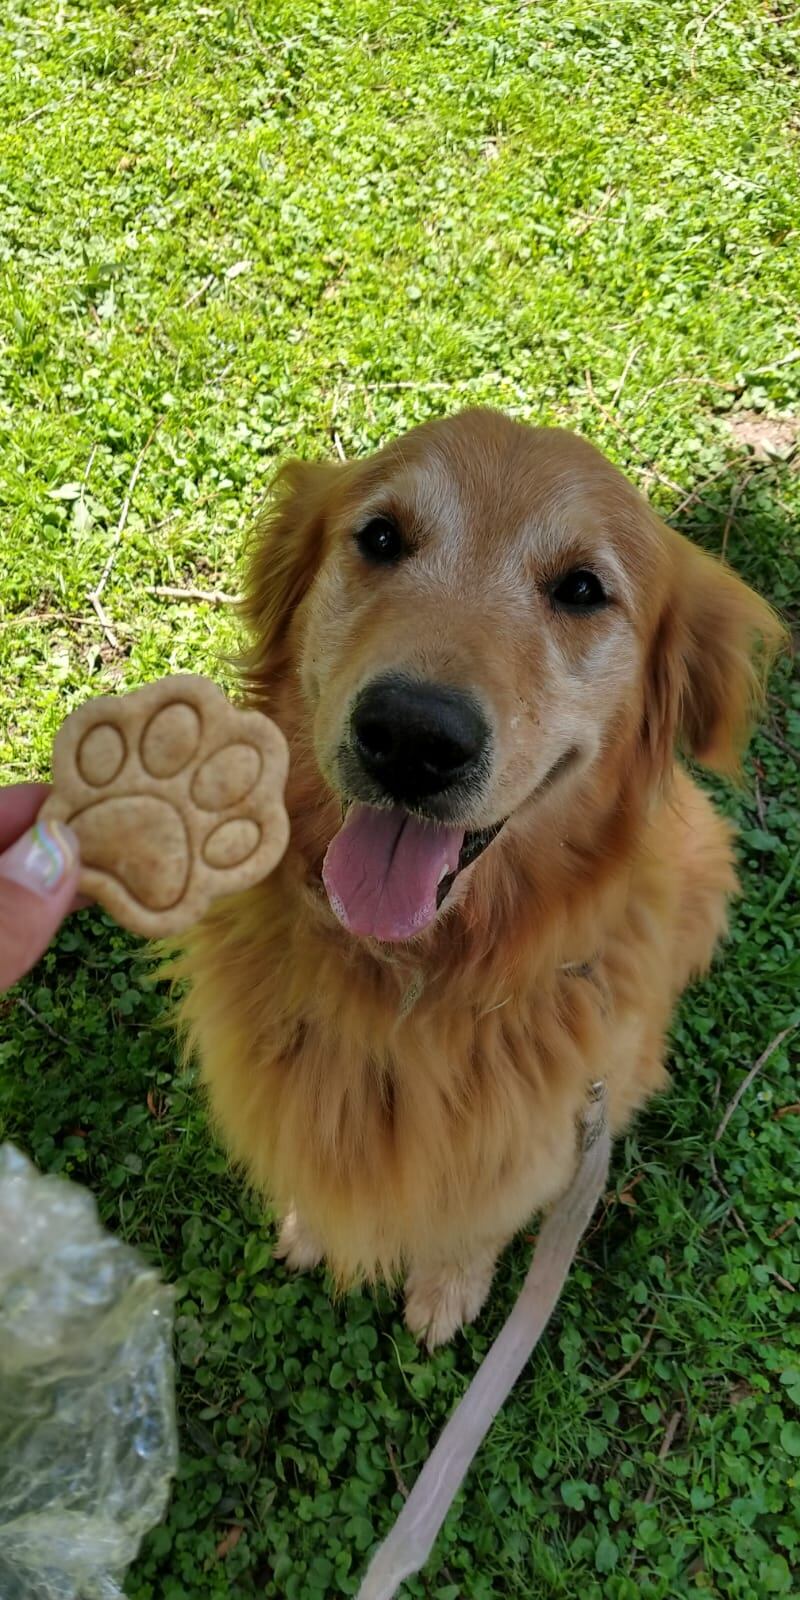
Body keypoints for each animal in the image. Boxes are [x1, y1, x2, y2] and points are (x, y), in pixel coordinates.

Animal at [173, 412, 780, 1350]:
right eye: (381, 538)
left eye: (581, 589)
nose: (411, 737)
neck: (417, 976)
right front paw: (311, 1224)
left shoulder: (549, 1132)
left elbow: (478, 1222)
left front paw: (448, 1288)